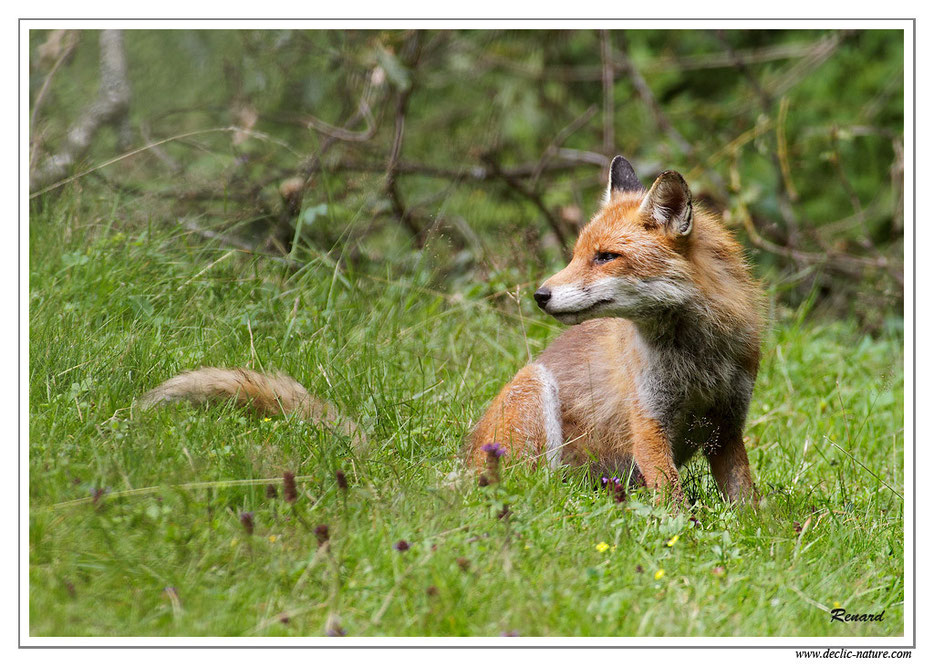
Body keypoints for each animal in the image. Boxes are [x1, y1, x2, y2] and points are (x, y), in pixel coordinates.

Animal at [468, 155, 768, 500]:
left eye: (606, 257)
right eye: (575, 256)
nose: (540, 296)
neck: (697, 359)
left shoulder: (727, 427)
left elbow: (745, 500)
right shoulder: (647, 423)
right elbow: (672, 499)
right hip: (534, 391)